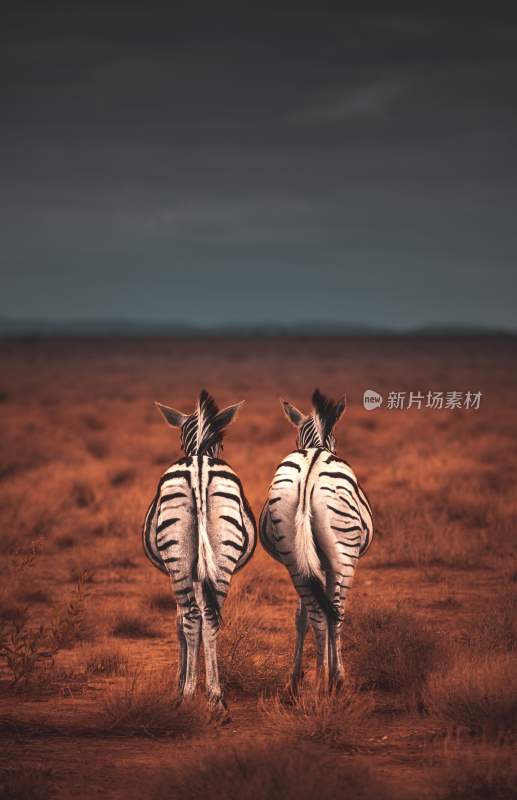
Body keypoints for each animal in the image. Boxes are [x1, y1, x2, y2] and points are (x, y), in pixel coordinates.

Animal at [142, 390, 255, 712]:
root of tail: (200, 468)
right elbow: (203, 618)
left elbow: (179, 622)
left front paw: (181, 682)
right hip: (221, 557)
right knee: (211, 618)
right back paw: (216, 697)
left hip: (178, 561)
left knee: (192, 617)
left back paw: (190, 694)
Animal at [260, 390, 372, 692]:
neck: (317, 444)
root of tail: (308, 478)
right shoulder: (329, 563)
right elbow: (332, 611)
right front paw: (333, 672)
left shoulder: (312, 562)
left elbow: (303, 617)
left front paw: (295, 677)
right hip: (344, 555)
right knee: (335, 612)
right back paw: (332, 679)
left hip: (294, 555)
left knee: (313, 614)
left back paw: (312, 680)